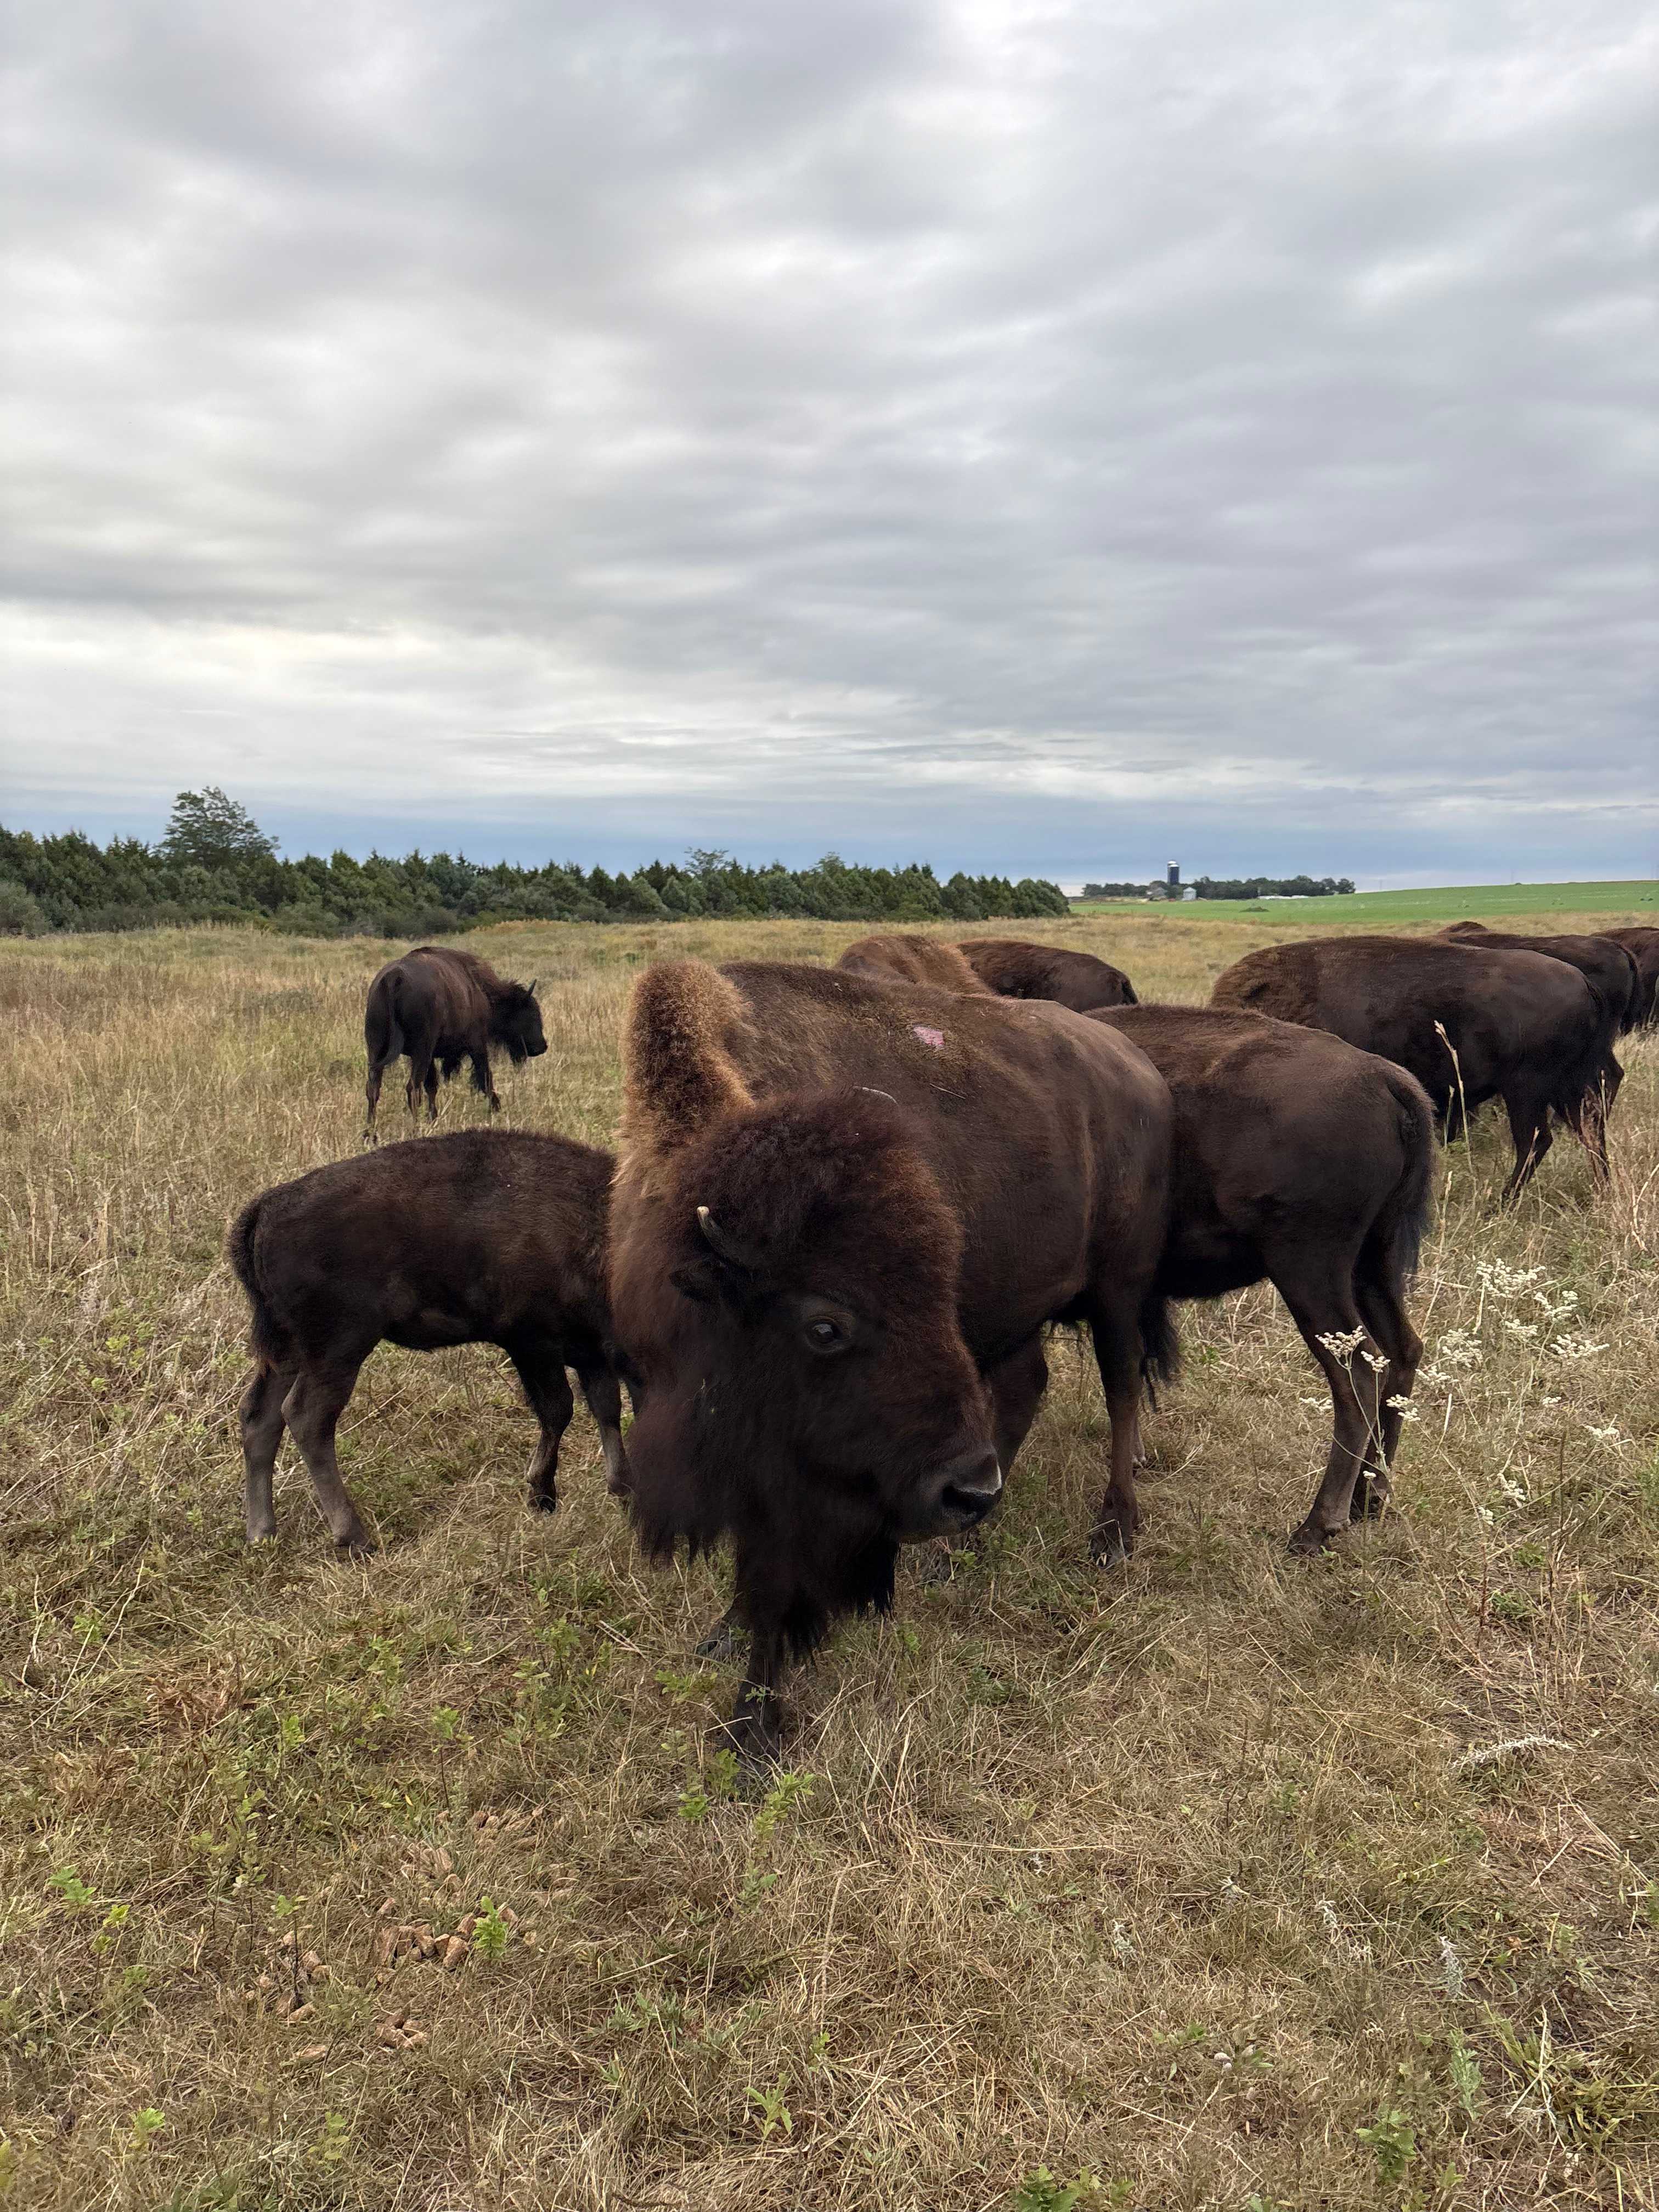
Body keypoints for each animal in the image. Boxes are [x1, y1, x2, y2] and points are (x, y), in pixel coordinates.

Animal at [230, 1129, 626, 1553]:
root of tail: (265, 1210)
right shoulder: (533, 1344)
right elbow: (559, 1411)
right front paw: (542, 1496)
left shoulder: (592, 1355)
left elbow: (606, 1409)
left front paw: (622, 1489)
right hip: (337, 1352)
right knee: (307, 1418)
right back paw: (354, 1538)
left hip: (288, 1353)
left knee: (260, 1417)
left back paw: (262, 1532)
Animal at [364, 945, 546, 1135]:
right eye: (530, 1013)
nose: (541, 1046)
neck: (481, 989)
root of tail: (395, 978)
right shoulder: (476, 1045)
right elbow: (486, 1077)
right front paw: (497, 1108)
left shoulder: (431, 1056)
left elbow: (432, 1086)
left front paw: (433, 1118)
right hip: (420, 1051)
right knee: (413, 1088)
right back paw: (414, 1129)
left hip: (376, 1048)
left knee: (373, 1088)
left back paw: (370, 1133)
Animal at [609, 958, 1173, 1759]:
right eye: (825, 1326)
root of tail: (1141, 1070)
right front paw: (725, 1634)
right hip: (1020, 1309)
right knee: (1026, 1390)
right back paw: (955, 1550)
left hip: (1119, 1290)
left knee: (1121, 1391)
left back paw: (1113, 1533)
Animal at [1087, 1006, 1432, 1549]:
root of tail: (1386, 1078)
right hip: (1370, 1263)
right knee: (1402, 1351)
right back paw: (1368, 1499)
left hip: (1308, 1269)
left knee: (1356, 1373)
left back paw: (1316, 1527)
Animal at [1210, 935, 1617, 1200]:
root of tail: (1584, 982)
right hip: (1567, 1085)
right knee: (1589, 1129)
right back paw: (1601, 1192)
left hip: (1527, 1089)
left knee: (1536, 1140)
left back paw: (1498, 1205)